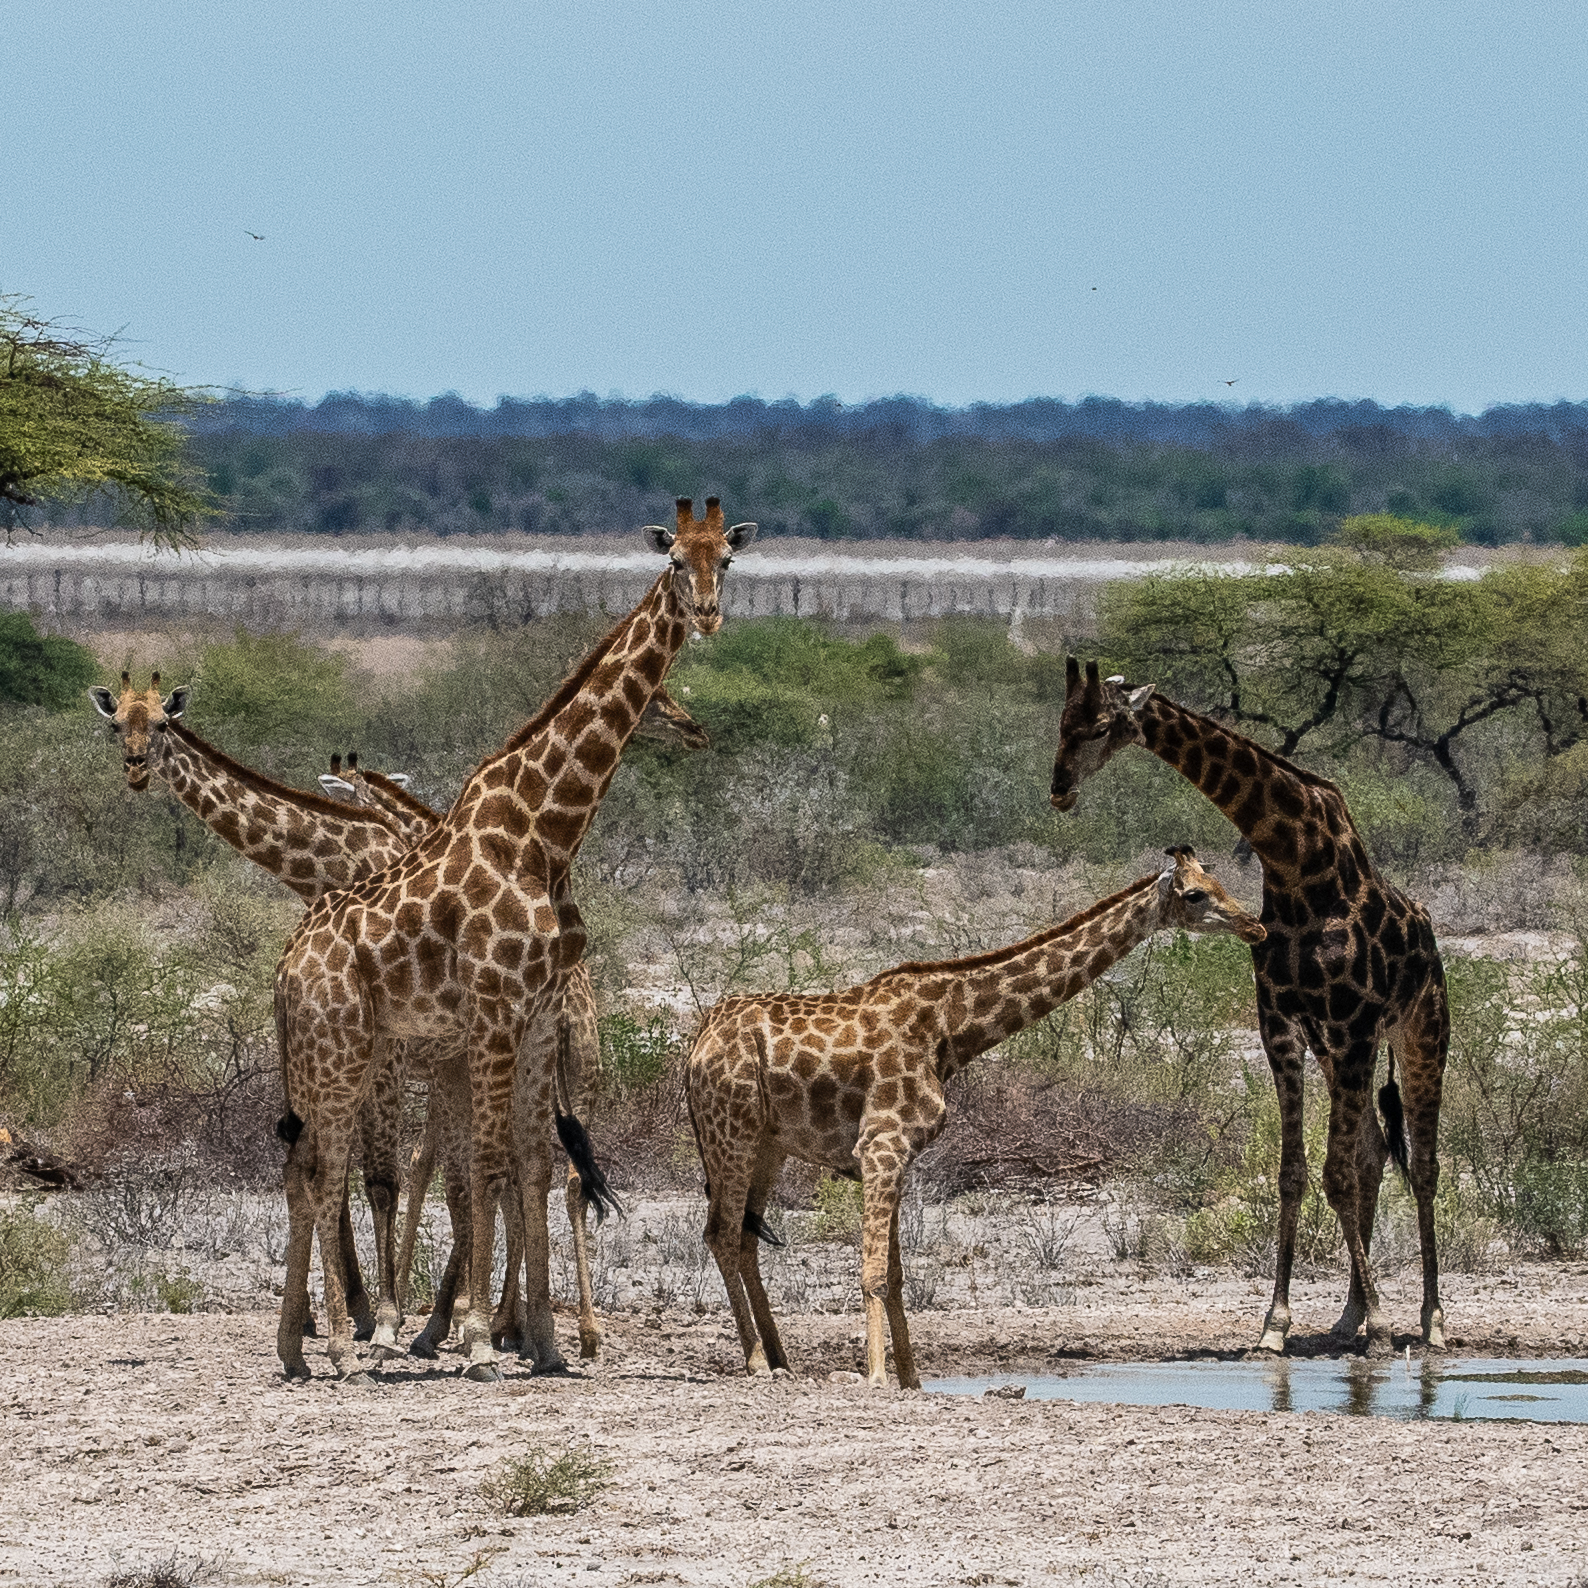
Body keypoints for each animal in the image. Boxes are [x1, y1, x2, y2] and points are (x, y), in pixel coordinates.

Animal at [274, 495, 755, 1378]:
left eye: (727, 562)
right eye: (676, 561)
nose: (706, 613)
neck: (542, 836)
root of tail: (290, 964)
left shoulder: (534, 1018)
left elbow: (528, 1162)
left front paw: (546, 1342)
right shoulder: (495, 1011)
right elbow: (488, 1164)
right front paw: (474, 1341)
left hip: (334, 1050)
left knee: (307, 1164)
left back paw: (300, 1347)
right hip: (341, 1047)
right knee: (321, 1165)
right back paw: (328, 1348)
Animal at [682, 851, 1264, 1384]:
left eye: (1218, 883)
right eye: (1196, 895)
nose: (1254, 925)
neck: (951, 1029)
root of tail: (698, 1039)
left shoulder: (899, 1154)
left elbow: (895, 1276)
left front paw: (911, 1380)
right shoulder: (881, 1146)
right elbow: (873, 1273)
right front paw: (876, 1378)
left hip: (767, 1144)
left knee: (745, 1236)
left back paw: (782, 1360)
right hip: (731, 1132)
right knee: (721, 1234)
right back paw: (757, 1362)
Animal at [1054, 657, 1454, 1352]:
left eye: (1101, 725)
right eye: (1061, 722)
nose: (1059, 788)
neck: (1297, 866)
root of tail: (1431, 937)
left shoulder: (1353, 1023)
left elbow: (1336, 1173)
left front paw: (1382, 1326)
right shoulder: (1283, 1023)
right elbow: (1297, 1173)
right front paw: (1277, 1325)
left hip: (1419, 1032)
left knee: (1422, 1162)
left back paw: (1429, 1319)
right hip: (1337, 1047)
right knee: (1375, 1153)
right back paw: (1349, 1314)